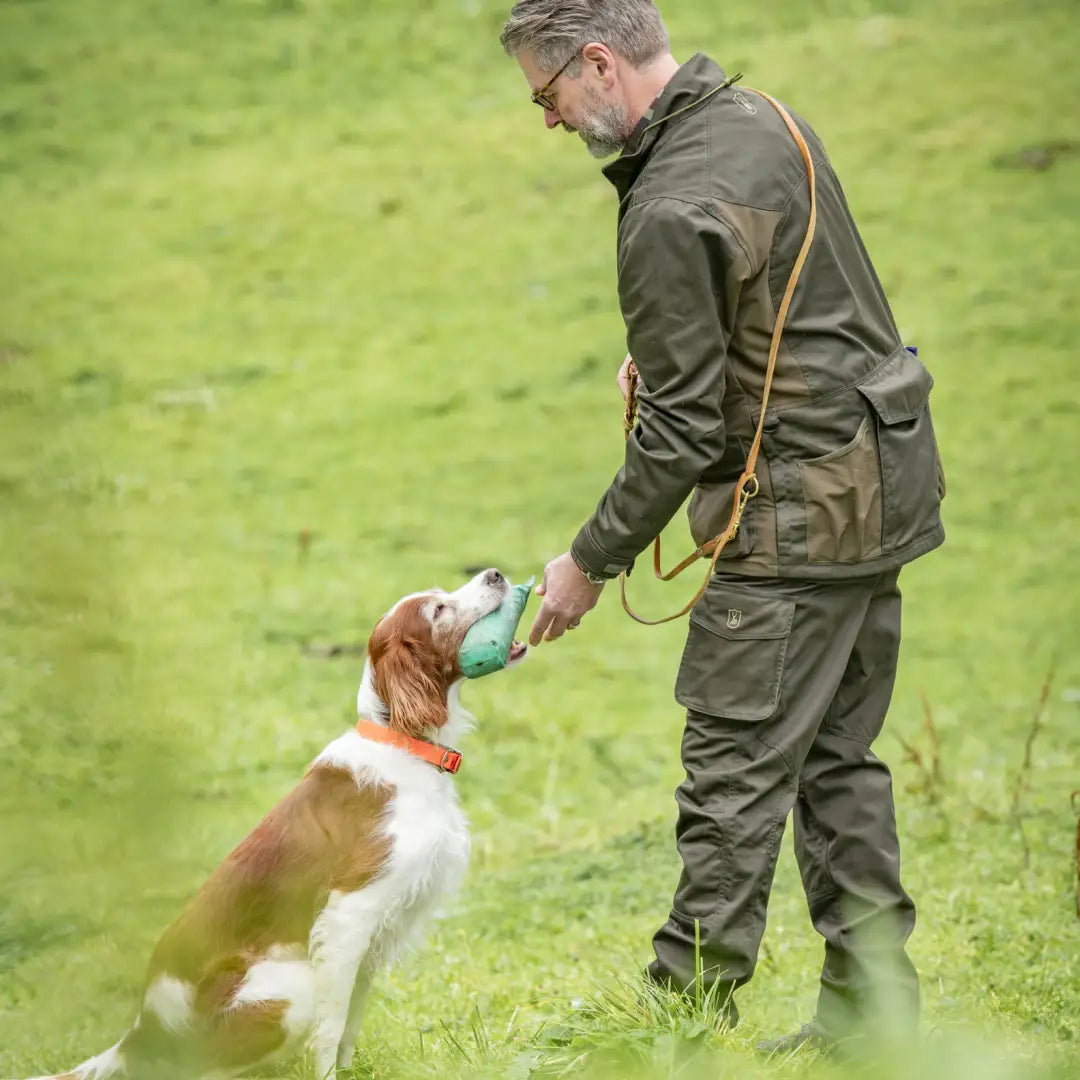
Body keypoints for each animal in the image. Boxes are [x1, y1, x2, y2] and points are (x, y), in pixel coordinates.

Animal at [25, 570, 527, 1075]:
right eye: (437, 610)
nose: (495, 573)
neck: (402, 744)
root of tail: (139, 1033)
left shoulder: (373, 939)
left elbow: (351, 1020)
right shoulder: (348, 914)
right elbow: (331, 1027)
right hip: (289, 990)